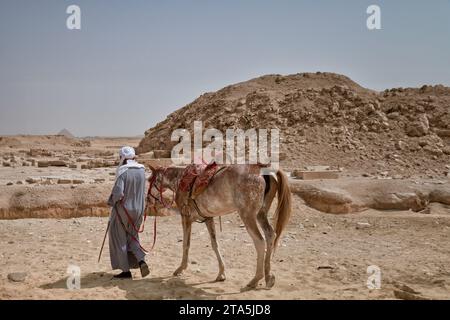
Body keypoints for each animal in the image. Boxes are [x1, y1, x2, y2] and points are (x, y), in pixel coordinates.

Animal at [148, 165, 292, 290]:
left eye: (149, 179)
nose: (148, 198)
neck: (179, 179)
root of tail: (263, 171)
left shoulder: (186, 217)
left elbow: (186, 244)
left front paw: (180, 268)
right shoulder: (208, 218)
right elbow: (214, 244)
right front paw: (221, 273)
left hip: (247, 215)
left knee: (260, 241)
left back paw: (255, 279)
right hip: (261, 213)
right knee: (270, 235)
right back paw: (268, 277)